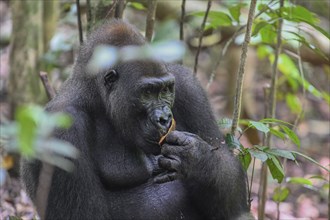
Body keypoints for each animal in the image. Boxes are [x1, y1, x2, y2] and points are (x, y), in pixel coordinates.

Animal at [20, 19, 251, 220]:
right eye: (147, 93)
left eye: (165, 90)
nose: (165, 118)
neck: (97, 99)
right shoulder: (59, 128)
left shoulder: (188, 87)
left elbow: (231, 202)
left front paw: (198, 158)